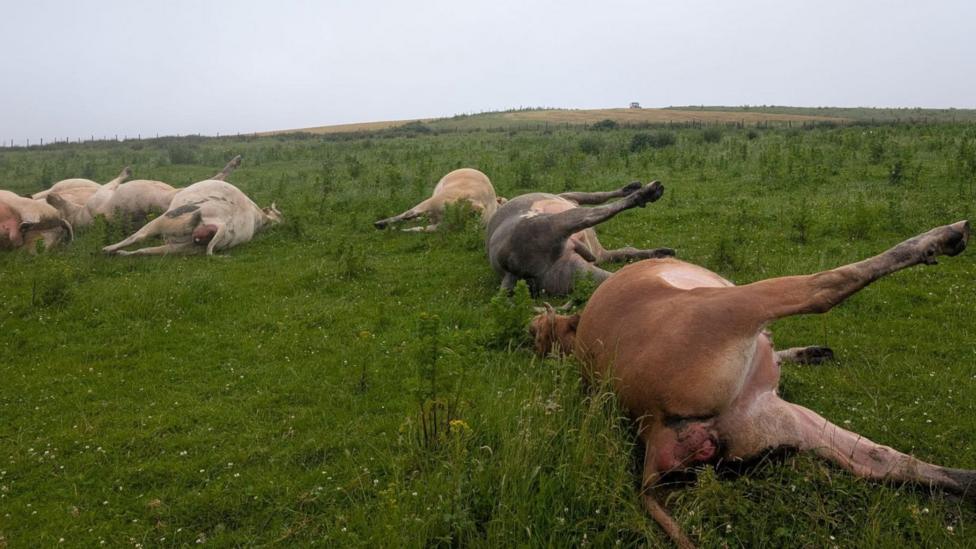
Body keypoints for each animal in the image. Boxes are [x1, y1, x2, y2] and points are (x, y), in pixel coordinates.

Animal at [102, 179, 281, 256]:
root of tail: (221, 224)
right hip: (185, 246)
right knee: (145, 250)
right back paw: (122, 253)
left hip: (168, 219)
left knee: (137, 237)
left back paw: (109, 249)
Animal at [486, 180, 674, 296]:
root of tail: (512, 272)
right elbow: (598, 197)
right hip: (559, 223)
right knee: (597, 213)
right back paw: (648, 192)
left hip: (570, 273)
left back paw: (663, 253)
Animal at [528, 221, 974, 548]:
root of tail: (652, 428)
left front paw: (809, 353)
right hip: (740, 305)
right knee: (826, 286)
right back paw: (942, 237)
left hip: (776, 417)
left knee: (887, 462)